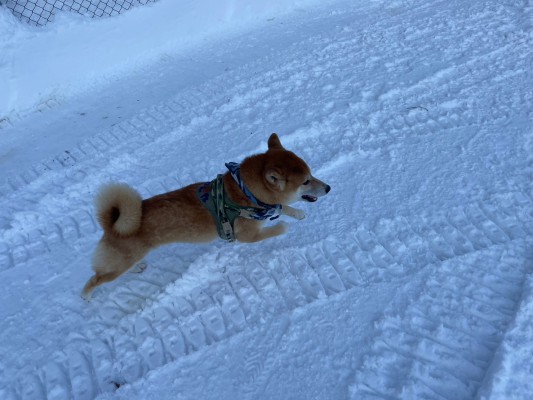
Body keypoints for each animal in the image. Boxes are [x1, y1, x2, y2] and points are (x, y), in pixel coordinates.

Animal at [80, 134, 328, 300]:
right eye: (306, 181)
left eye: (311, 174)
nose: (328, 188)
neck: (243, 192)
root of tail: (111, 225)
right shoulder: (246, 236)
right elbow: (276, 225)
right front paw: (285, 226)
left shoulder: (267, 205)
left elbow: (282, 206)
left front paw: (297, 213)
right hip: (118, 264)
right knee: (95, 278)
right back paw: (87, 296)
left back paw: (137, 268)